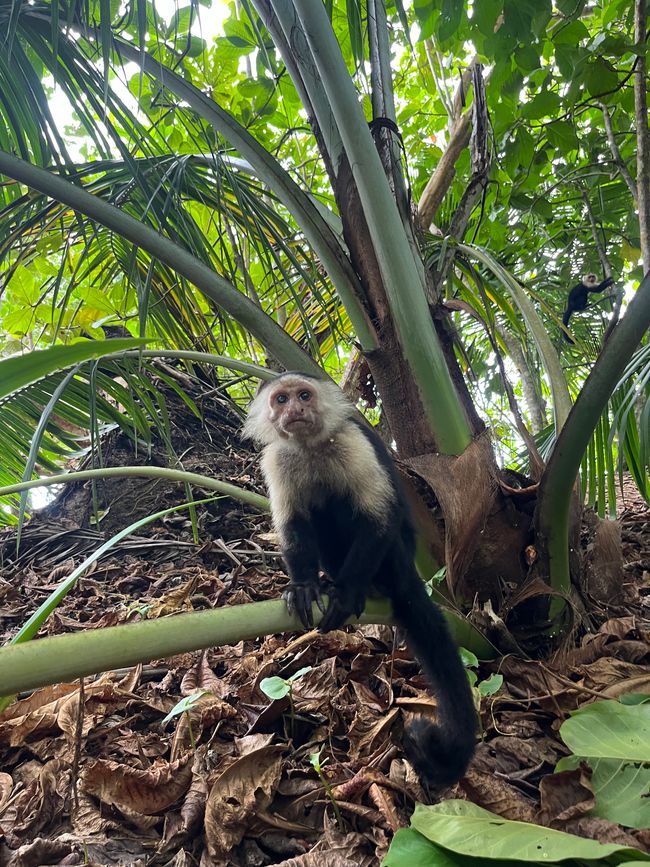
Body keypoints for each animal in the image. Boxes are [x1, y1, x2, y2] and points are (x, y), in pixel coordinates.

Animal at [243, 372, 476, 792]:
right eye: (281, 399)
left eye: (304, 396)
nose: (294, 409)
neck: (310, 447)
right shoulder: (278, 459)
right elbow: (293, 525)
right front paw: (303, 586)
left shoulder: (352, 442)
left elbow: (376, 518)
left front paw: (347, 591)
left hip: (396, 562)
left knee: (345, 505)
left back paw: (364, 587)